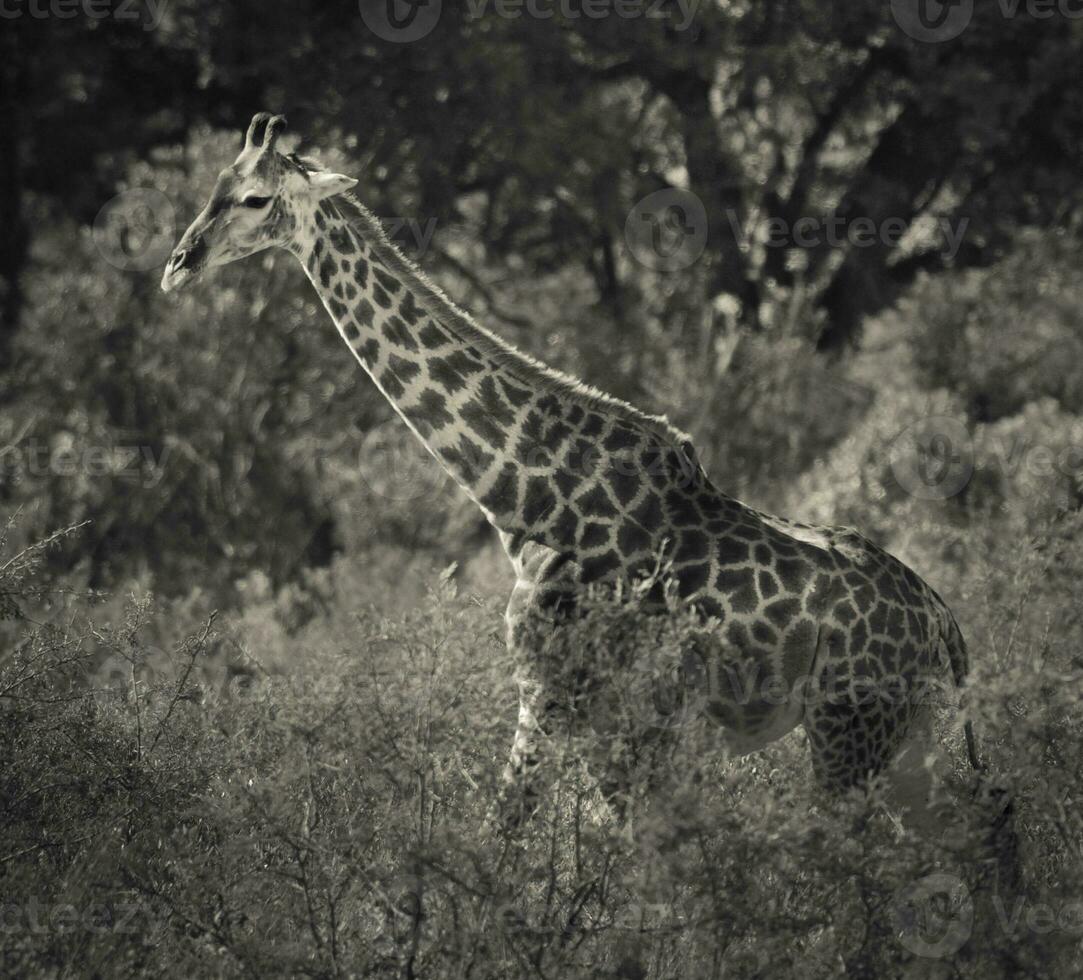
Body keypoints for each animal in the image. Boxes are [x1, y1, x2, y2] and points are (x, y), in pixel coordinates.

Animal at [164, 112, 987, 831]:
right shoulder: (609, 724)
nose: (178, 266)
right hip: (907, 735)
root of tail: (944, 623)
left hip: (849, 731)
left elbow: (527, 835)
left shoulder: (554, 698)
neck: (523, 497)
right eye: (215, 183)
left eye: (256, 198)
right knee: (976, 827)